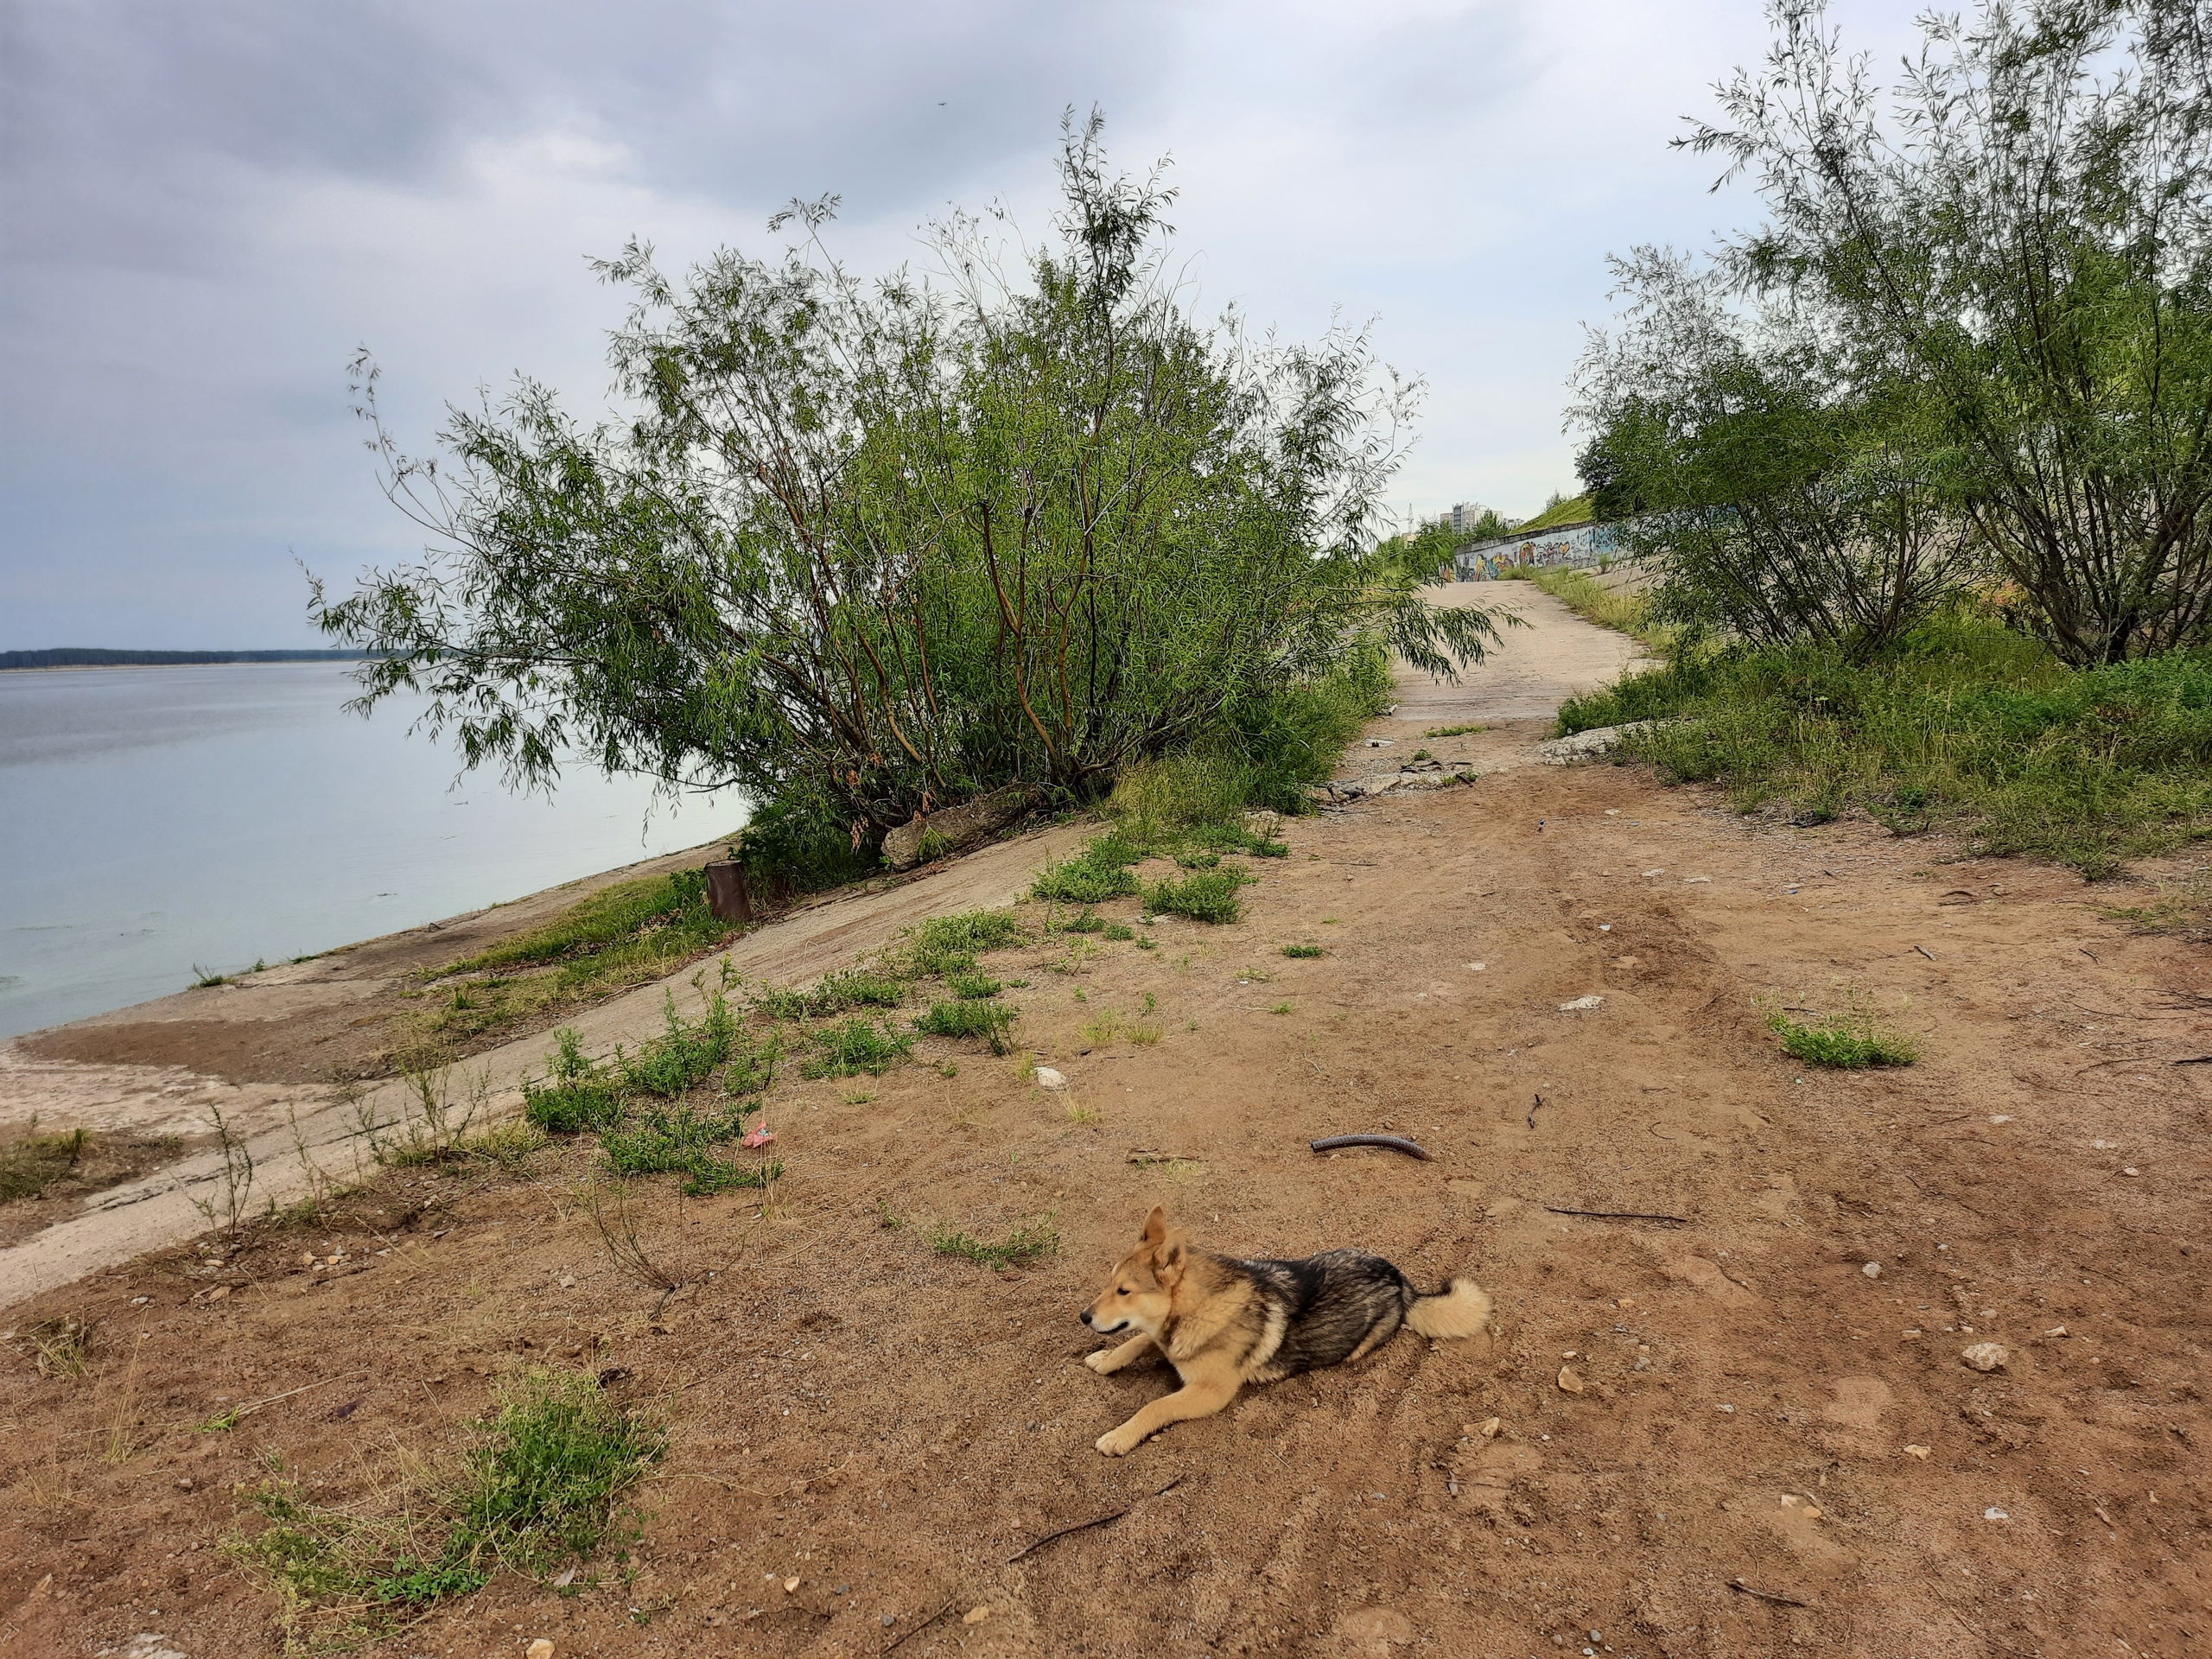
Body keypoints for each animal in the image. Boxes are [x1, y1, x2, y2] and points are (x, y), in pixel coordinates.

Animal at [1084, 1211, 1495, 1451]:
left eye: (1124, 1292)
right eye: (1109, 1284)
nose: (1084, 1317)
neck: (1196, 1308)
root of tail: (1400, 1280)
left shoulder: (1210, 1392)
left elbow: (1155, 1406)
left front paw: (1119, 1436)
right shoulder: (1166, 1342)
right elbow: (1139, 1339)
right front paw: (1106, 1359)